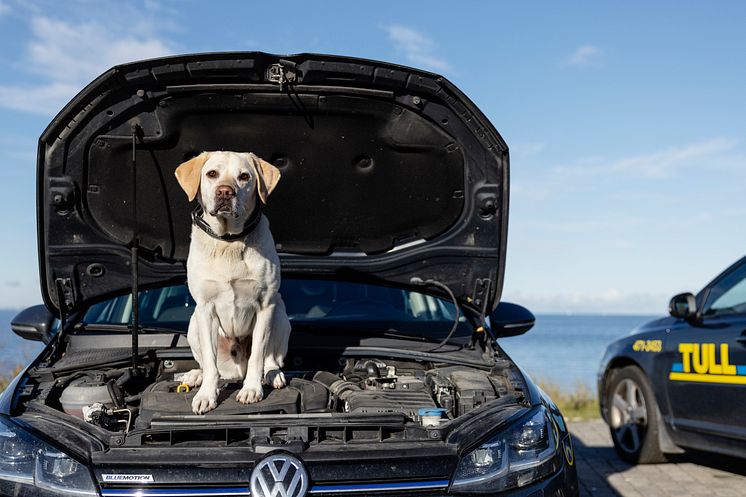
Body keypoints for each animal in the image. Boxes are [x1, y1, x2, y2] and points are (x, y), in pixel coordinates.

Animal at [174, 151, 290, 414]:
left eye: (244, 176)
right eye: (212, 174)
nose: (225, 192)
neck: (229, 241)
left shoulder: (265, 305)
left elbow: (258, 355)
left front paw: (252, 390)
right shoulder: (205, 309)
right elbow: (209, 360)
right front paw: (207, 395)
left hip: (279, 312)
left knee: (271, 358)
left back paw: (272, 375)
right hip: (194, 323)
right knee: (210, 366)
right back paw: (196, 375)